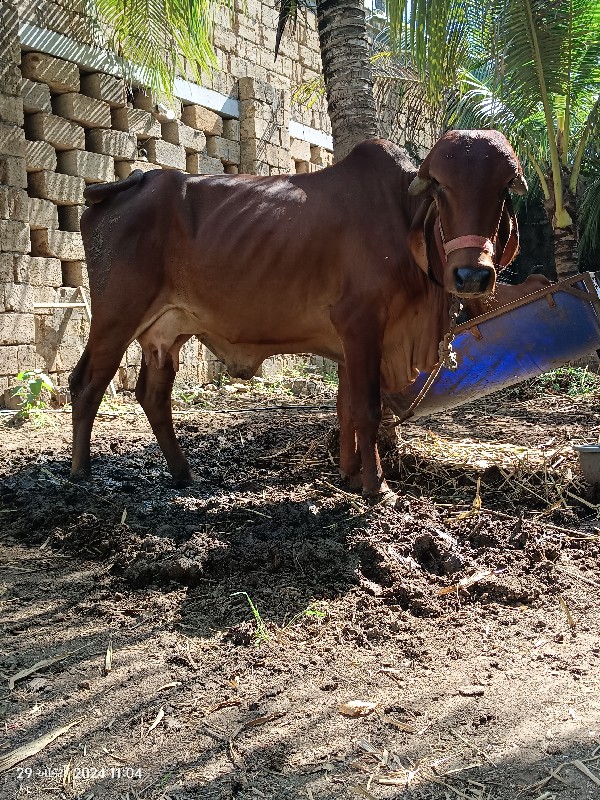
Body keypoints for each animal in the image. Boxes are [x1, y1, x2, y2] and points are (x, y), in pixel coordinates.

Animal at [68, 133, 528, 500]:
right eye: (441, 188)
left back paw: (183, 474)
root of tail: (127, 185)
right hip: (116, 315)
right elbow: (367, 408)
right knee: (87, 382)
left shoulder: (351, 345)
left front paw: (349, 475)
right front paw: (376, 487)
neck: (402, 215)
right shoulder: (361, 324)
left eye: (504, 188)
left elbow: (346, 407)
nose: (472, 275)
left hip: (168, 330)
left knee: (153, 393)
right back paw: (80, 475)